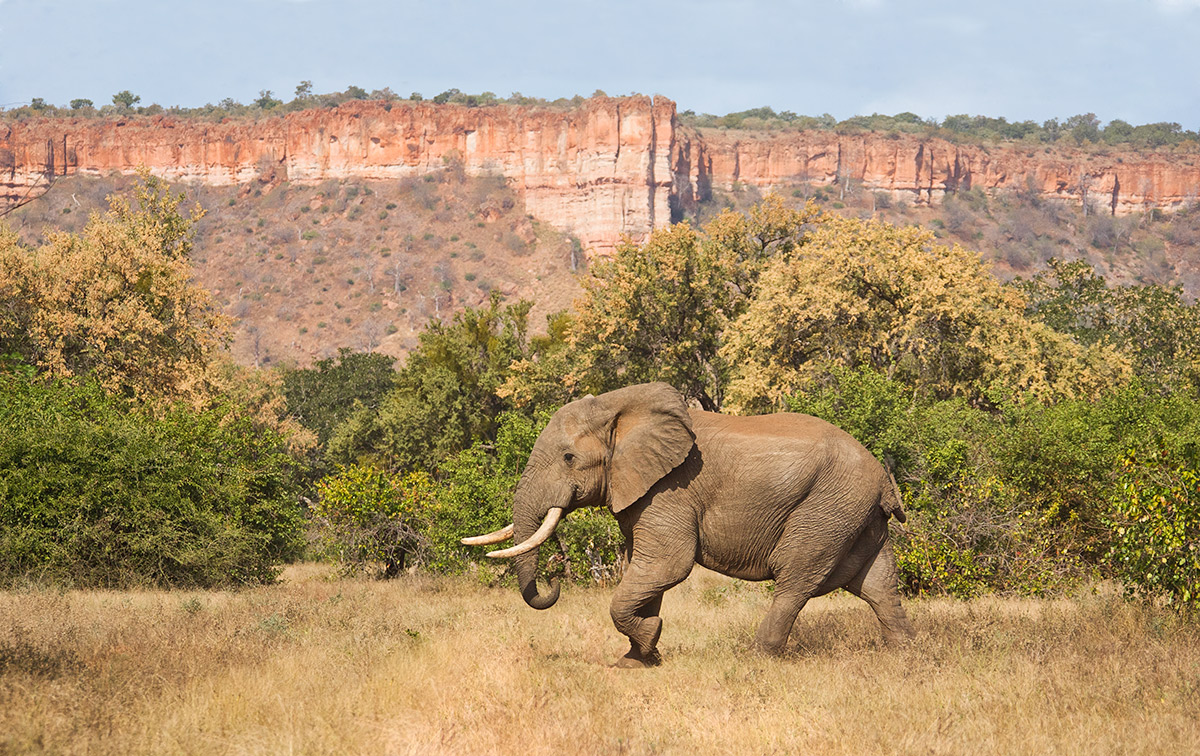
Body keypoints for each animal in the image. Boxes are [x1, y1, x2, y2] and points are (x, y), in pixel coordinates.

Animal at [462, 382, 915, 667]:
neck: (619, 408)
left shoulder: (670, 490)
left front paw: (649, 640)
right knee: (878, 586)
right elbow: (645, 572)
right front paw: (637, 661)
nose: (554, 579)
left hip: (827, 508)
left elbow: (666, 566)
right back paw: (906, 656)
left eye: (569, 458)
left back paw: (757, 660)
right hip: (855, 514)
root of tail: (882, 478)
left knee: (795, 579)